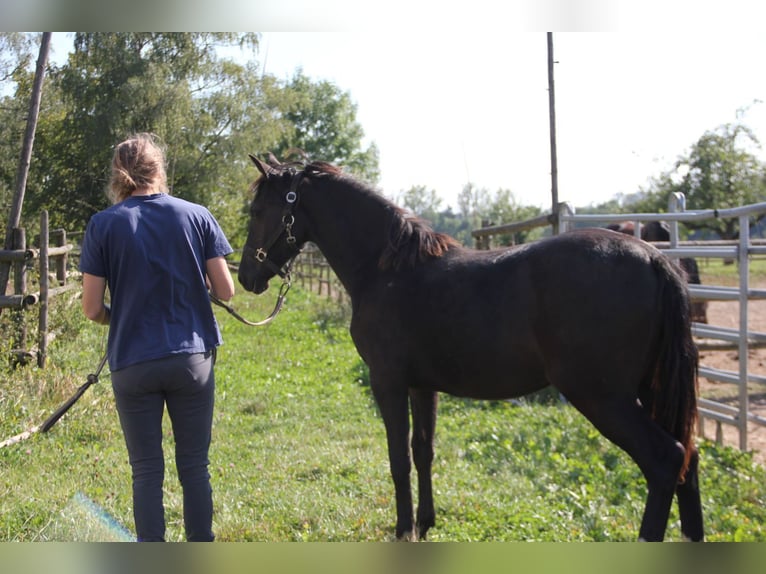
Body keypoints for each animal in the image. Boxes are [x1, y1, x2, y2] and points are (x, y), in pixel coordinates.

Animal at [237, 155, 704, 544]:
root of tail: (655, 259)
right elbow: (422, 451)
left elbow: (397, 457)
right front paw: (425, 523)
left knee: (666, 460)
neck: (387, 269)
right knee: (689, 460)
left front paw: (404, 530)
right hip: (650, 390)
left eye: (258, 211)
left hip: (602, 396)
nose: (245, 277)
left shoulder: (387, 381)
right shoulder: (422, 386)